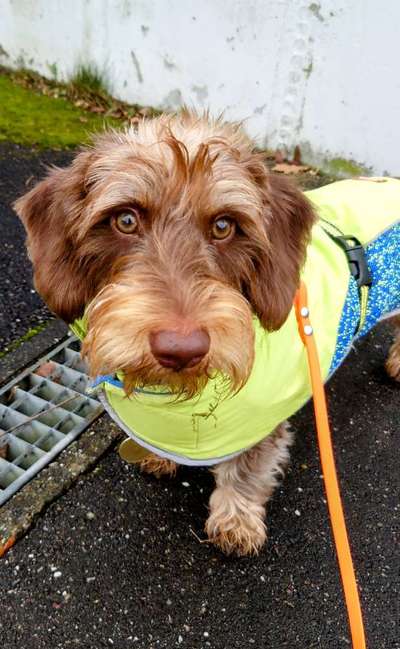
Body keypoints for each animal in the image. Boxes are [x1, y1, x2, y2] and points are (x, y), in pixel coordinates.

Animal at [14, 112, 400, 556]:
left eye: (223, 226)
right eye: (125, 219)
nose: (182, 350)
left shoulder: (262, 425)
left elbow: (248, 469)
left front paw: (236, 521)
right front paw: (160, 457)